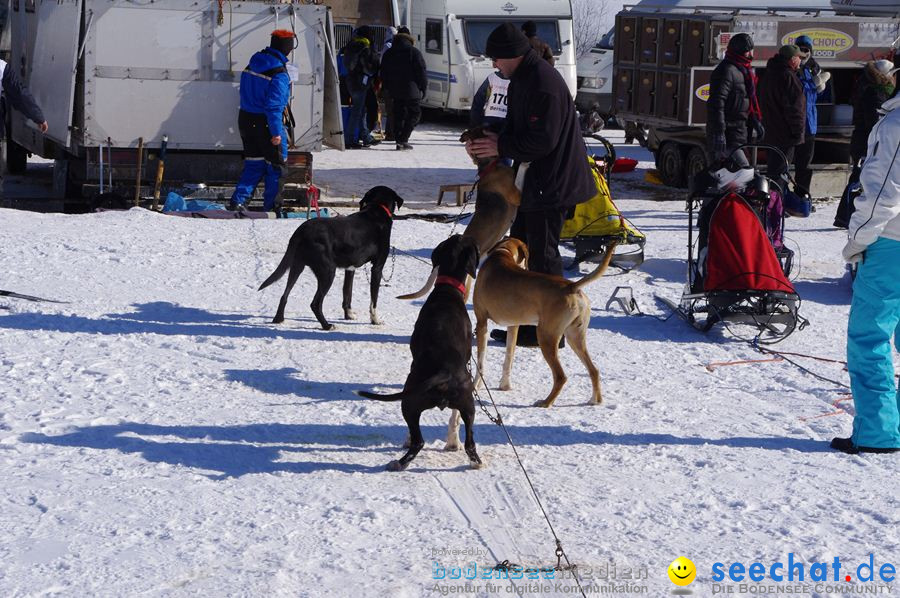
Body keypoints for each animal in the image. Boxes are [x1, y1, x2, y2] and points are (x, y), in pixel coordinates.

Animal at [358, 234, 486, 474]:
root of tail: (445, 372)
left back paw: (399, 462)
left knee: (418, 441)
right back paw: (475, 462)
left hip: (409, 402)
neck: (447, 291)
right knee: (470, 442)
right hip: (468, 406)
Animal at [472, 238, 620, 408]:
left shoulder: (481, 323)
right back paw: (595, 400)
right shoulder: (513, 326)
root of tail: (572, 286)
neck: (502, 253)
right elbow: (508, 359)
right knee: (594, 370)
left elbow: (481, 363)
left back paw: (546, 402)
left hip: (545, 337)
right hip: (575, 337)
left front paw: (476, 386)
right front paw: (505, 386)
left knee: (561, 376)